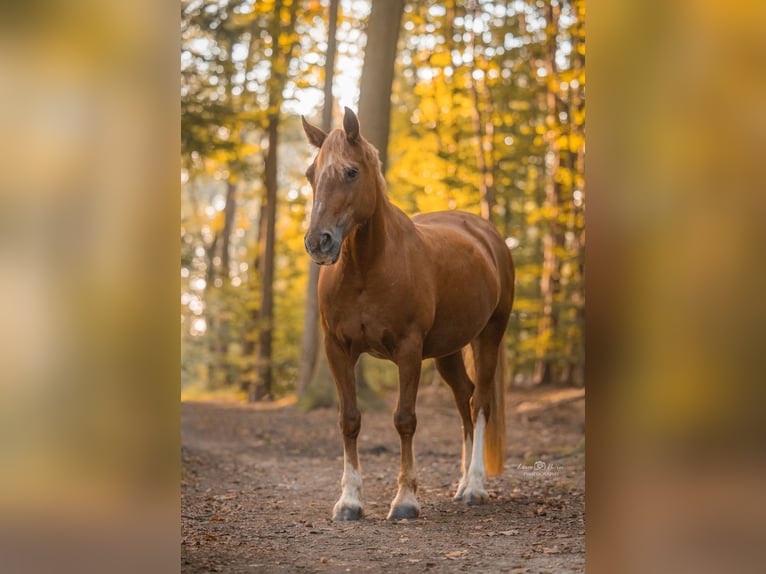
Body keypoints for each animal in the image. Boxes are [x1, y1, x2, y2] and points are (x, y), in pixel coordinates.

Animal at [302, 107, 516, 520]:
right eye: (310, 174)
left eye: (351, 172)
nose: (318, 242)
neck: (367, 268)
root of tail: (485, 233)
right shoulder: (337, 348)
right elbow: (349, 419)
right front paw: (349, 501)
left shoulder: (408, 349)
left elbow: (404, 419)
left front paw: (405, 500)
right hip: (449, 350)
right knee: (464, 398)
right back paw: (462, 484)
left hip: (489, 336)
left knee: (480, 402)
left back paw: (475, 487)